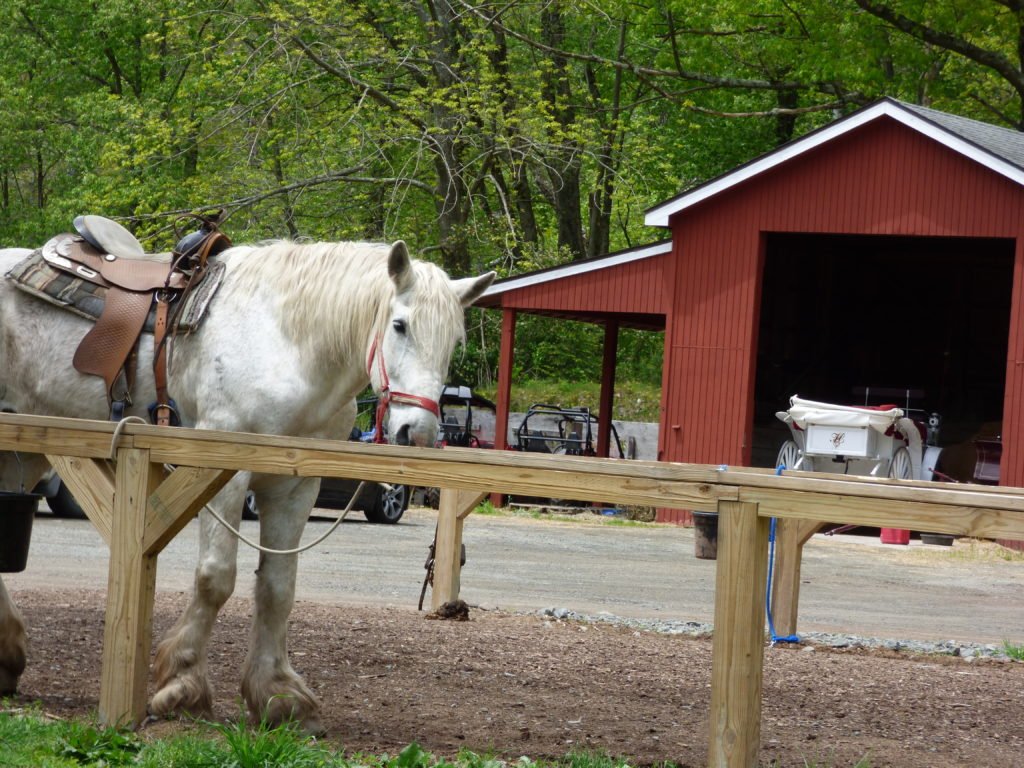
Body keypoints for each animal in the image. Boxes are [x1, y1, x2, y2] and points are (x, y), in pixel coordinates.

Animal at [0, 237, 491, 729]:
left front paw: (278, 694)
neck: (285, 345)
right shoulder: (225, 475)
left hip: (24, 452)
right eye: (399, 325)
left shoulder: (295, 488)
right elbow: (216, 578)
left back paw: (8, 654)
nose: (418, 433)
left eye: (454, 342)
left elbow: (277, 588)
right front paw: (182, 683)